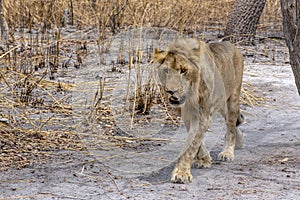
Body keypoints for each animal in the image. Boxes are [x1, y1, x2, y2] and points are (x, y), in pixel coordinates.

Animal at [152, 38, 244, 184]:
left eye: (183, 70)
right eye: (166, 70)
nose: (171, 91)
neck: (189, 96)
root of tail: (231, 45)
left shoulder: (203, 116)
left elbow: (191, 145)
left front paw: (181, 173)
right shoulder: (187, 116)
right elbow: (196, 141)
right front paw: (204, 159)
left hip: (233, 98)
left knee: (230, 124)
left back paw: (227, 152)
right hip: (221, 102)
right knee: (233, 120)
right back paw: (240, 141)